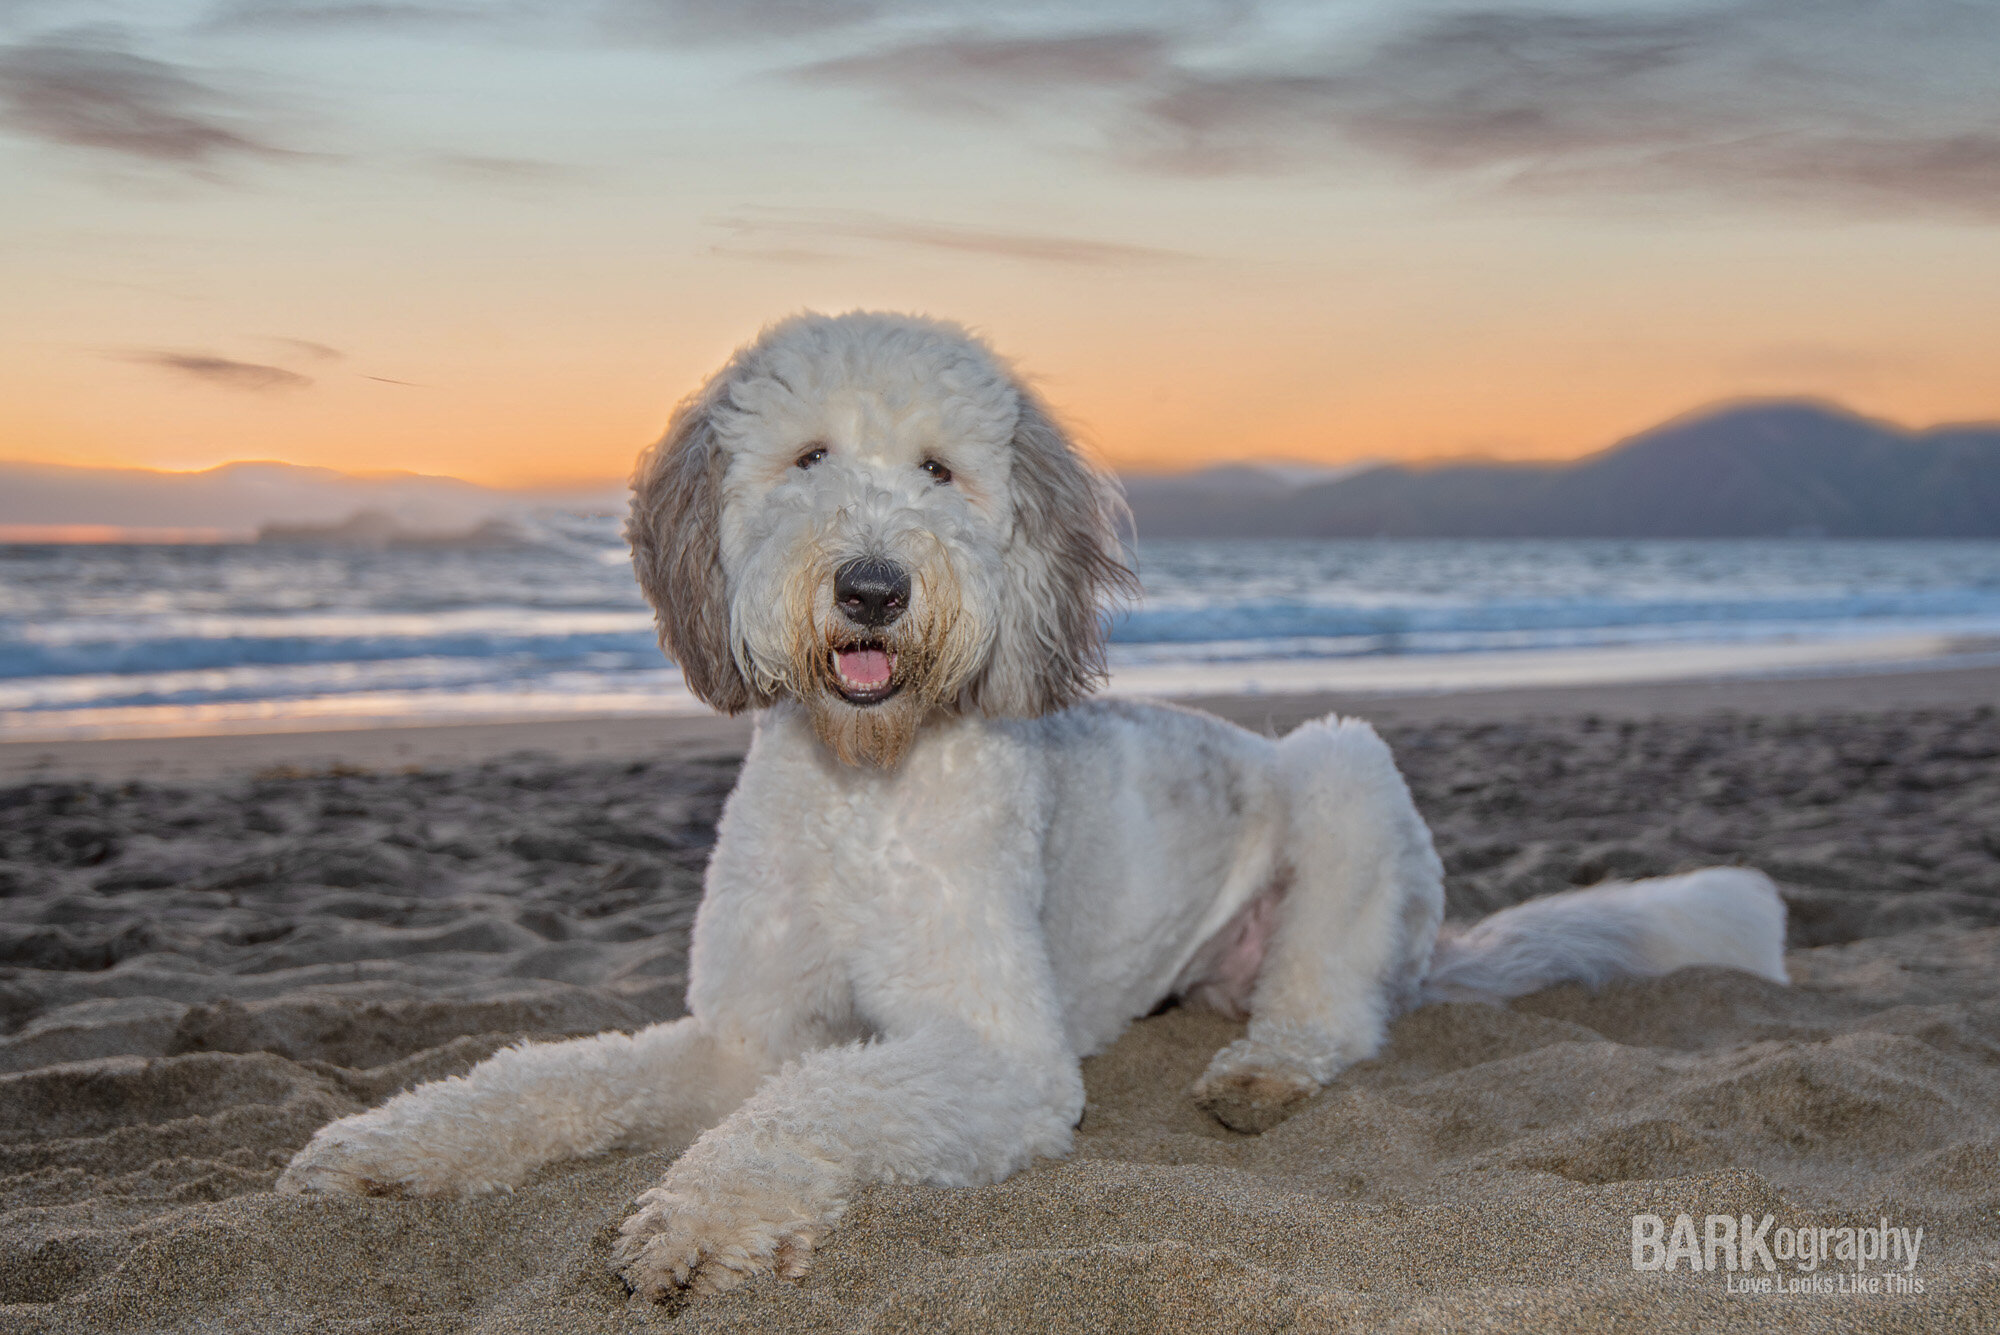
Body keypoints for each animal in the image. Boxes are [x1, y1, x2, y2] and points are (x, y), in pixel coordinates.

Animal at [274, 309, 1792, 1295]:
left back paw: (1262, 1069)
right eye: (807, 457)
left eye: (942, 469)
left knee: (1336, 1005)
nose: (872, 586)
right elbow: (546, 1076)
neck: (863, 788)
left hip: (1345, 771)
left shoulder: (994, 1054)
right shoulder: (742, 1029)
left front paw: (701, 1217)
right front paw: (386, 1146)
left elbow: (807, 1105)